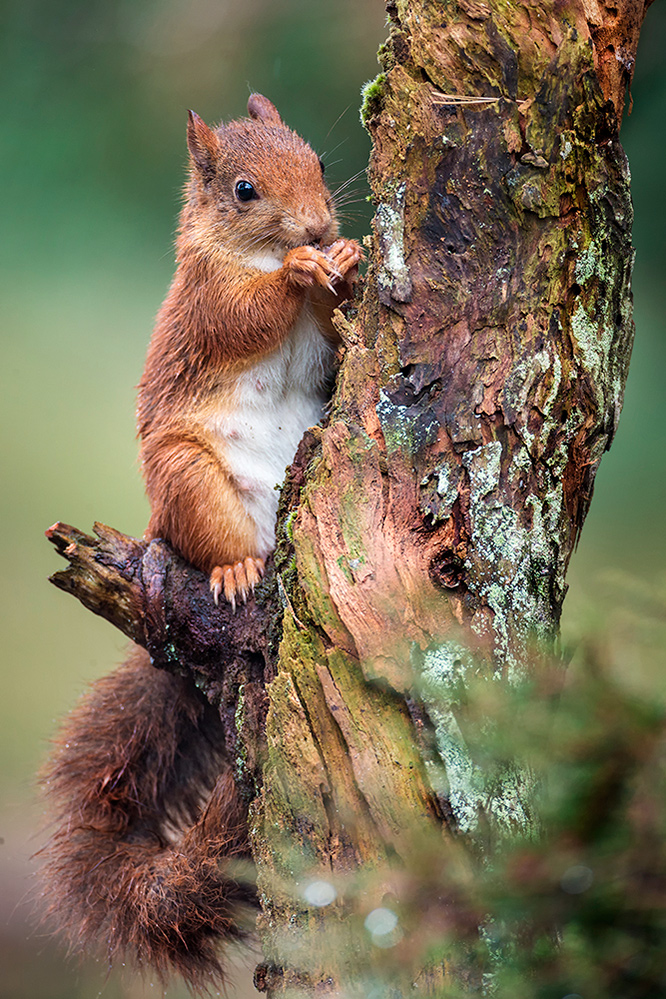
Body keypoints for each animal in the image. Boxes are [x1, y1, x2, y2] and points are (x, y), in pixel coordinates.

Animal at [39, 95, 360, 992]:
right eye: (244, 190)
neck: (249, 251)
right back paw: (237, 568)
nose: (319, 226)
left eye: (321, 161)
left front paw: (345, 257)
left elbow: (333, 338)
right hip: (187, 483)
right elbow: (246, 315)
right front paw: (298, 274)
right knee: (212, 547)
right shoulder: (207, 302)